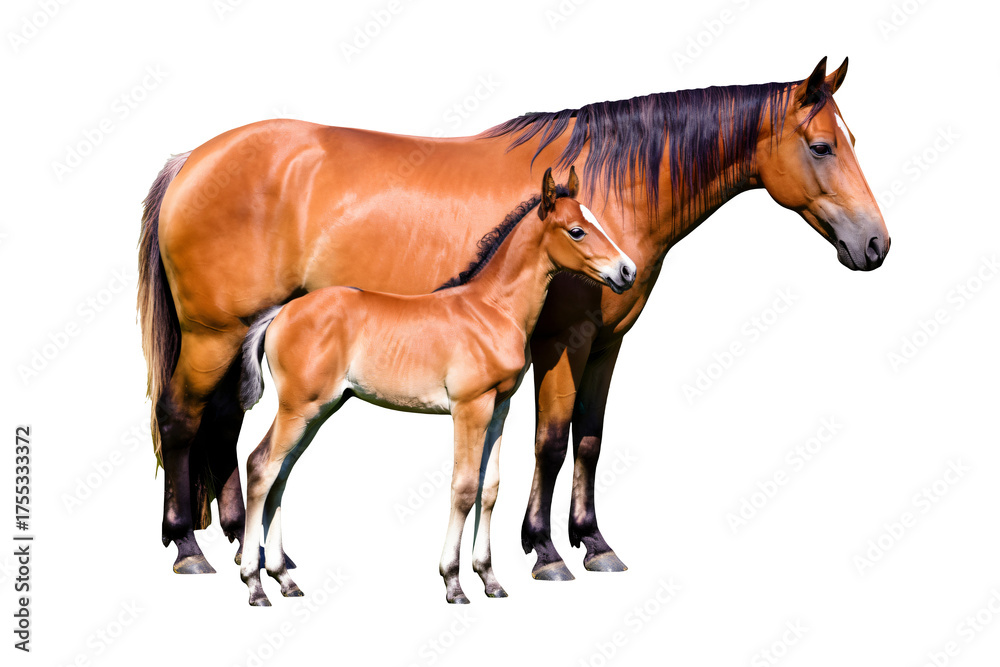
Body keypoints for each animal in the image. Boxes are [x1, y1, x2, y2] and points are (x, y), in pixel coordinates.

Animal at [235, 167, 635, 605]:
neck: (491, 310)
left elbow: (490, 487)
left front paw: (490, 579)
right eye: (577, 230)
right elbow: (463, 486)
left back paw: (284, 580)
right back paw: (254, 584)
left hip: (320, 410)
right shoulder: (469, 407)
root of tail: (280, 312)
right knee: (261, 468)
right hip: (299, 407)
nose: (627, 271)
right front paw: (454, 582)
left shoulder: (499, 408)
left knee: (281, 474)